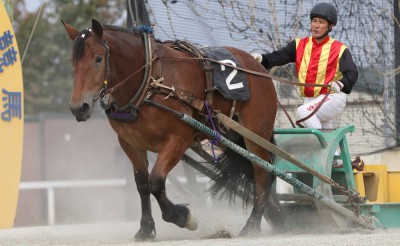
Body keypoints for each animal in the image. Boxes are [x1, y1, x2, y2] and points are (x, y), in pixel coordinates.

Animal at [63, 18, 282, 240]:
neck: (150, 81)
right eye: (73, 60)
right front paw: (146, 228)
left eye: (98, 58)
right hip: (230, 135)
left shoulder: (178, 140)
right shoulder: (130, 144)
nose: (78, 107)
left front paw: (182, 216)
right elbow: (142, 184)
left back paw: (252, 225)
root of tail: (256, 65)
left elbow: (156, 181)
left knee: (263, 177)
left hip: (256, 134)